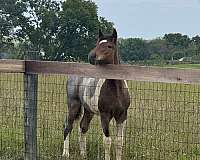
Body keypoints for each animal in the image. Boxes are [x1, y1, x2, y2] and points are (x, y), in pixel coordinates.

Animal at [63, 29, 131, 160]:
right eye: (97, 43)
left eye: (109, 46)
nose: (91, 56)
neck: (116, 90)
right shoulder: (105, 116)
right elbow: (107, 141)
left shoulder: (122, 116)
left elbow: (119, 142)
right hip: (73, 105)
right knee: (68, 126)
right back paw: (65, 153)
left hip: (89, 110)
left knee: (83, 127)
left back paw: (83, 154)